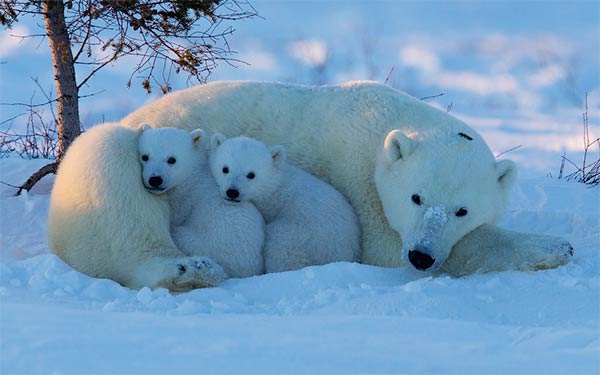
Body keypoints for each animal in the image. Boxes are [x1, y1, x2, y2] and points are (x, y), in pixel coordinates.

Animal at [139, 126, 266, 280]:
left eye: (171, 159)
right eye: (145, 156)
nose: (155, 179)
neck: (192, 174)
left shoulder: (184, 198)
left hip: (204, 244)